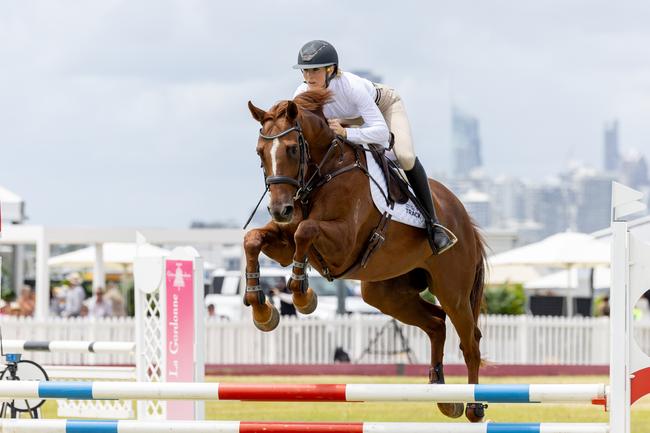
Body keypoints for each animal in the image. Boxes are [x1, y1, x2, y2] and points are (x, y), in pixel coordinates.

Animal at [243, 88, 486, 422]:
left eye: (292, 149)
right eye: (259, 152)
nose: (280, 209)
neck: (323, 172)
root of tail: (464, 218)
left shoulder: (343, 243)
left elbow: (305, 230)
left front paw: (304, 296)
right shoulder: (284, 243)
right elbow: (253, 239)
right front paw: (261, 309)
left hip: (454, 293)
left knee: (470, 341)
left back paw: (474, 407)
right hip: (385, 293)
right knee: (436, 323)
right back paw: (442, 394)